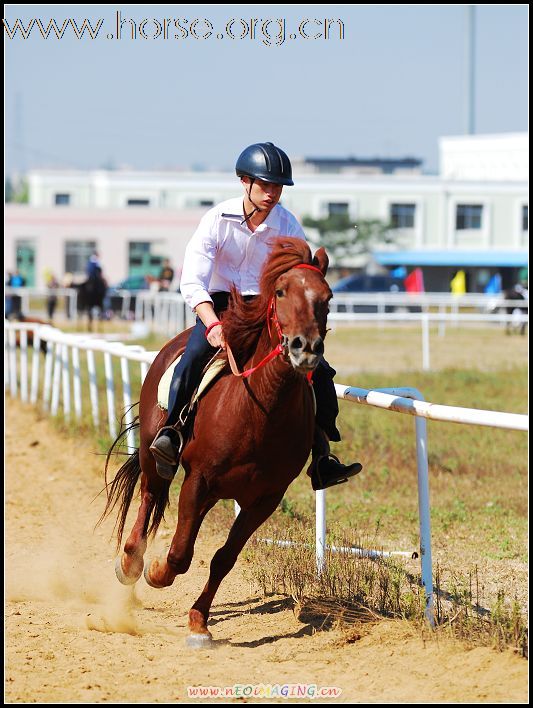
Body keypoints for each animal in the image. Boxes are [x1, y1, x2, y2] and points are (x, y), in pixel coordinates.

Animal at [100, 236, 332, 640]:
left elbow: (224, 558)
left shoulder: (265, 498)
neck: (260, 410)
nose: (306, 347)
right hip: (155, 458)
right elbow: (179, 554)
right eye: (282, 291)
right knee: (149, 496)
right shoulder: (199, 480)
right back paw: (130, 564)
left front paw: (198, 619)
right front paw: (156, 573)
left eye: (327, 297)